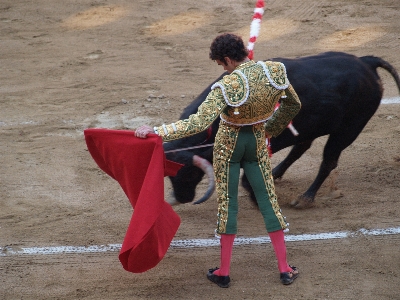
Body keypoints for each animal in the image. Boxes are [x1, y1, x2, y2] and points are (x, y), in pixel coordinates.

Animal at [162, 50, 400, 207]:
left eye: (189, 173)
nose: (181, 198)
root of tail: (366, 62)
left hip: (348, 130)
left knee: (328, 159)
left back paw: (305, 198)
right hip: (314, 128)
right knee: (301, 148)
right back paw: (278, 174)